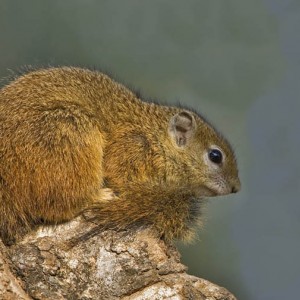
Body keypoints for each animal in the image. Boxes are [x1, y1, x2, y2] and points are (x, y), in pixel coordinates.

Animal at [0, 67, 240, 245]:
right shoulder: (131, 149)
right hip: (68, 132)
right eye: (215, 156)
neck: (155, 137)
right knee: (57, 207)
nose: (236, 187)